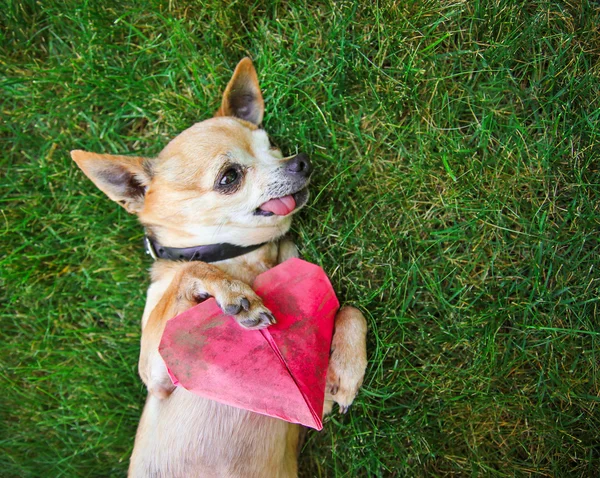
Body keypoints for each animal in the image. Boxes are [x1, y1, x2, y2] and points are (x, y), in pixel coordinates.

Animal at [72, 58, 368, 476]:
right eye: (230, 177)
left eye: (271, 147)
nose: (300, 160)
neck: (242, 259)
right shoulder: (156, 374)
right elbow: (191, 270)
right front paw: (232, 294)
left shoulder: (309, 402)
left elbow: (352, 310)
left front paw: (345, 369)